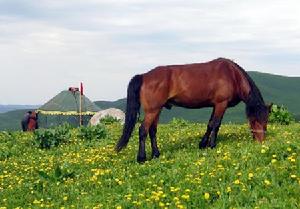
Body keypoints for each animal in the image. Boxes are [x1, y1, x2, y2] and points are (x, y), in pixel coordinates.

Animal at [116, 58, 270, 162]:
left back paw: (156, 154)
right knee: (143, 130)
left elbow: (210, 124)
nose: (261, 141)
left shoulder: (215, 105)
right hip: (152, 110)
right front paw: (212, 145)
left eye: (266, 121)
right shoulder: (221, 104)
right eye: (255, 121)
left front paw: (203, 144)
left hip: (157, 110)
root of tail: (144, 76)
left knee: (152, 131)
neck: (232, 75)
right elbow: (216, 124)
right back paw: (141, 158)